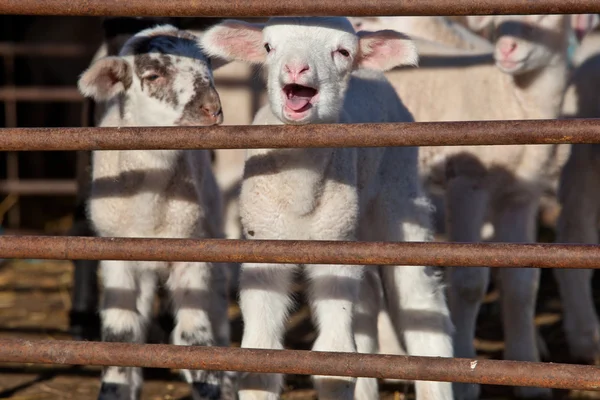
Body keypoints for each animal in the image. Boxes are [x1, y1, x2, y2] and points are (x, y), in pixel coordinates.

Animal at [75, 25, 234, 400]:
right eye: (152, 76)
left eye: (209, 65)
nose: (213, 109)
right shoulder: (116, 255)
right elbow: (120, 335)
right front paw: (114, 389)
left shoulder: (192, 247)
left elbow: (194, 337)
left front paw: (212, 386)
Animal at [199, 15, 452, 400]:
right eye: (268, 47)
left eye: (343, 51)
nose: (295, 68)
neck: (301, 197)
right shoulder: (264, 247)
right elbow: (260, 356)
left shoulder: (333, 248)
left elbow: (334, 357)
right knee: (367, 303)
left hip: (397, 193)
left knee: (422, 304)